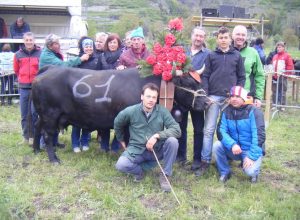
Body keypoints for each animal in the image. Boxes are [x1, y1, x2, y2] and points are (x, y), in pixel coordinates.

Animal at [32, 65, 211, 163]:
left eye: (199, 82)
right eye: (188, 83)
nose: (208, 102)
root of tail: (49, 69)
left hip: (43, 115)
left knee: (37, 127)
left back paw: (36, 150)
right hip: (50, 114)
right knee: (47, 135)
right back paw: (53, 159)